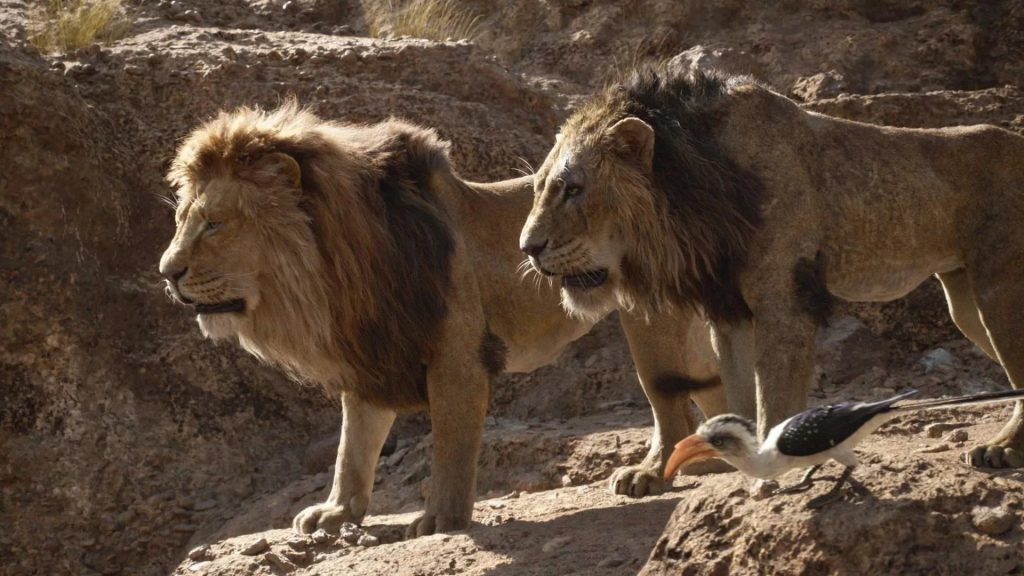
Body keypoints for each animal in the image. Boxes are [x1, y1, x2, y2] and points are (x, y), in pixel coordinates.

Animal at [158, 103, 725, 537]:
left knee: (670, 400)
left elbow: (450, 443)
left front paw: (438, 520)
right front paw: (337, 512)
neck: (336, 270)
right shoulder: (373, 350)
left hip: (650, 323)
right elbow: (353, 443)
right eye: (182, 219)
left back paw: (653, 473)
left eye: (214, 224)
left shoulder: (457, 356)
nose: (167, 272)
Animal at [521, 62, 1024, 470]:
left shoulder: (784, 299)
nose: (528, 247)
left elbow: (774, 398)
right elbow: (742, 393)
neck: (692, 187)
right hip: (965, 302)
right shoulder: (730, 312)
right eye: (539, 188)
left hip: (1000, 289)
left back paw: (1003, 448)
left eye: (573, 189)